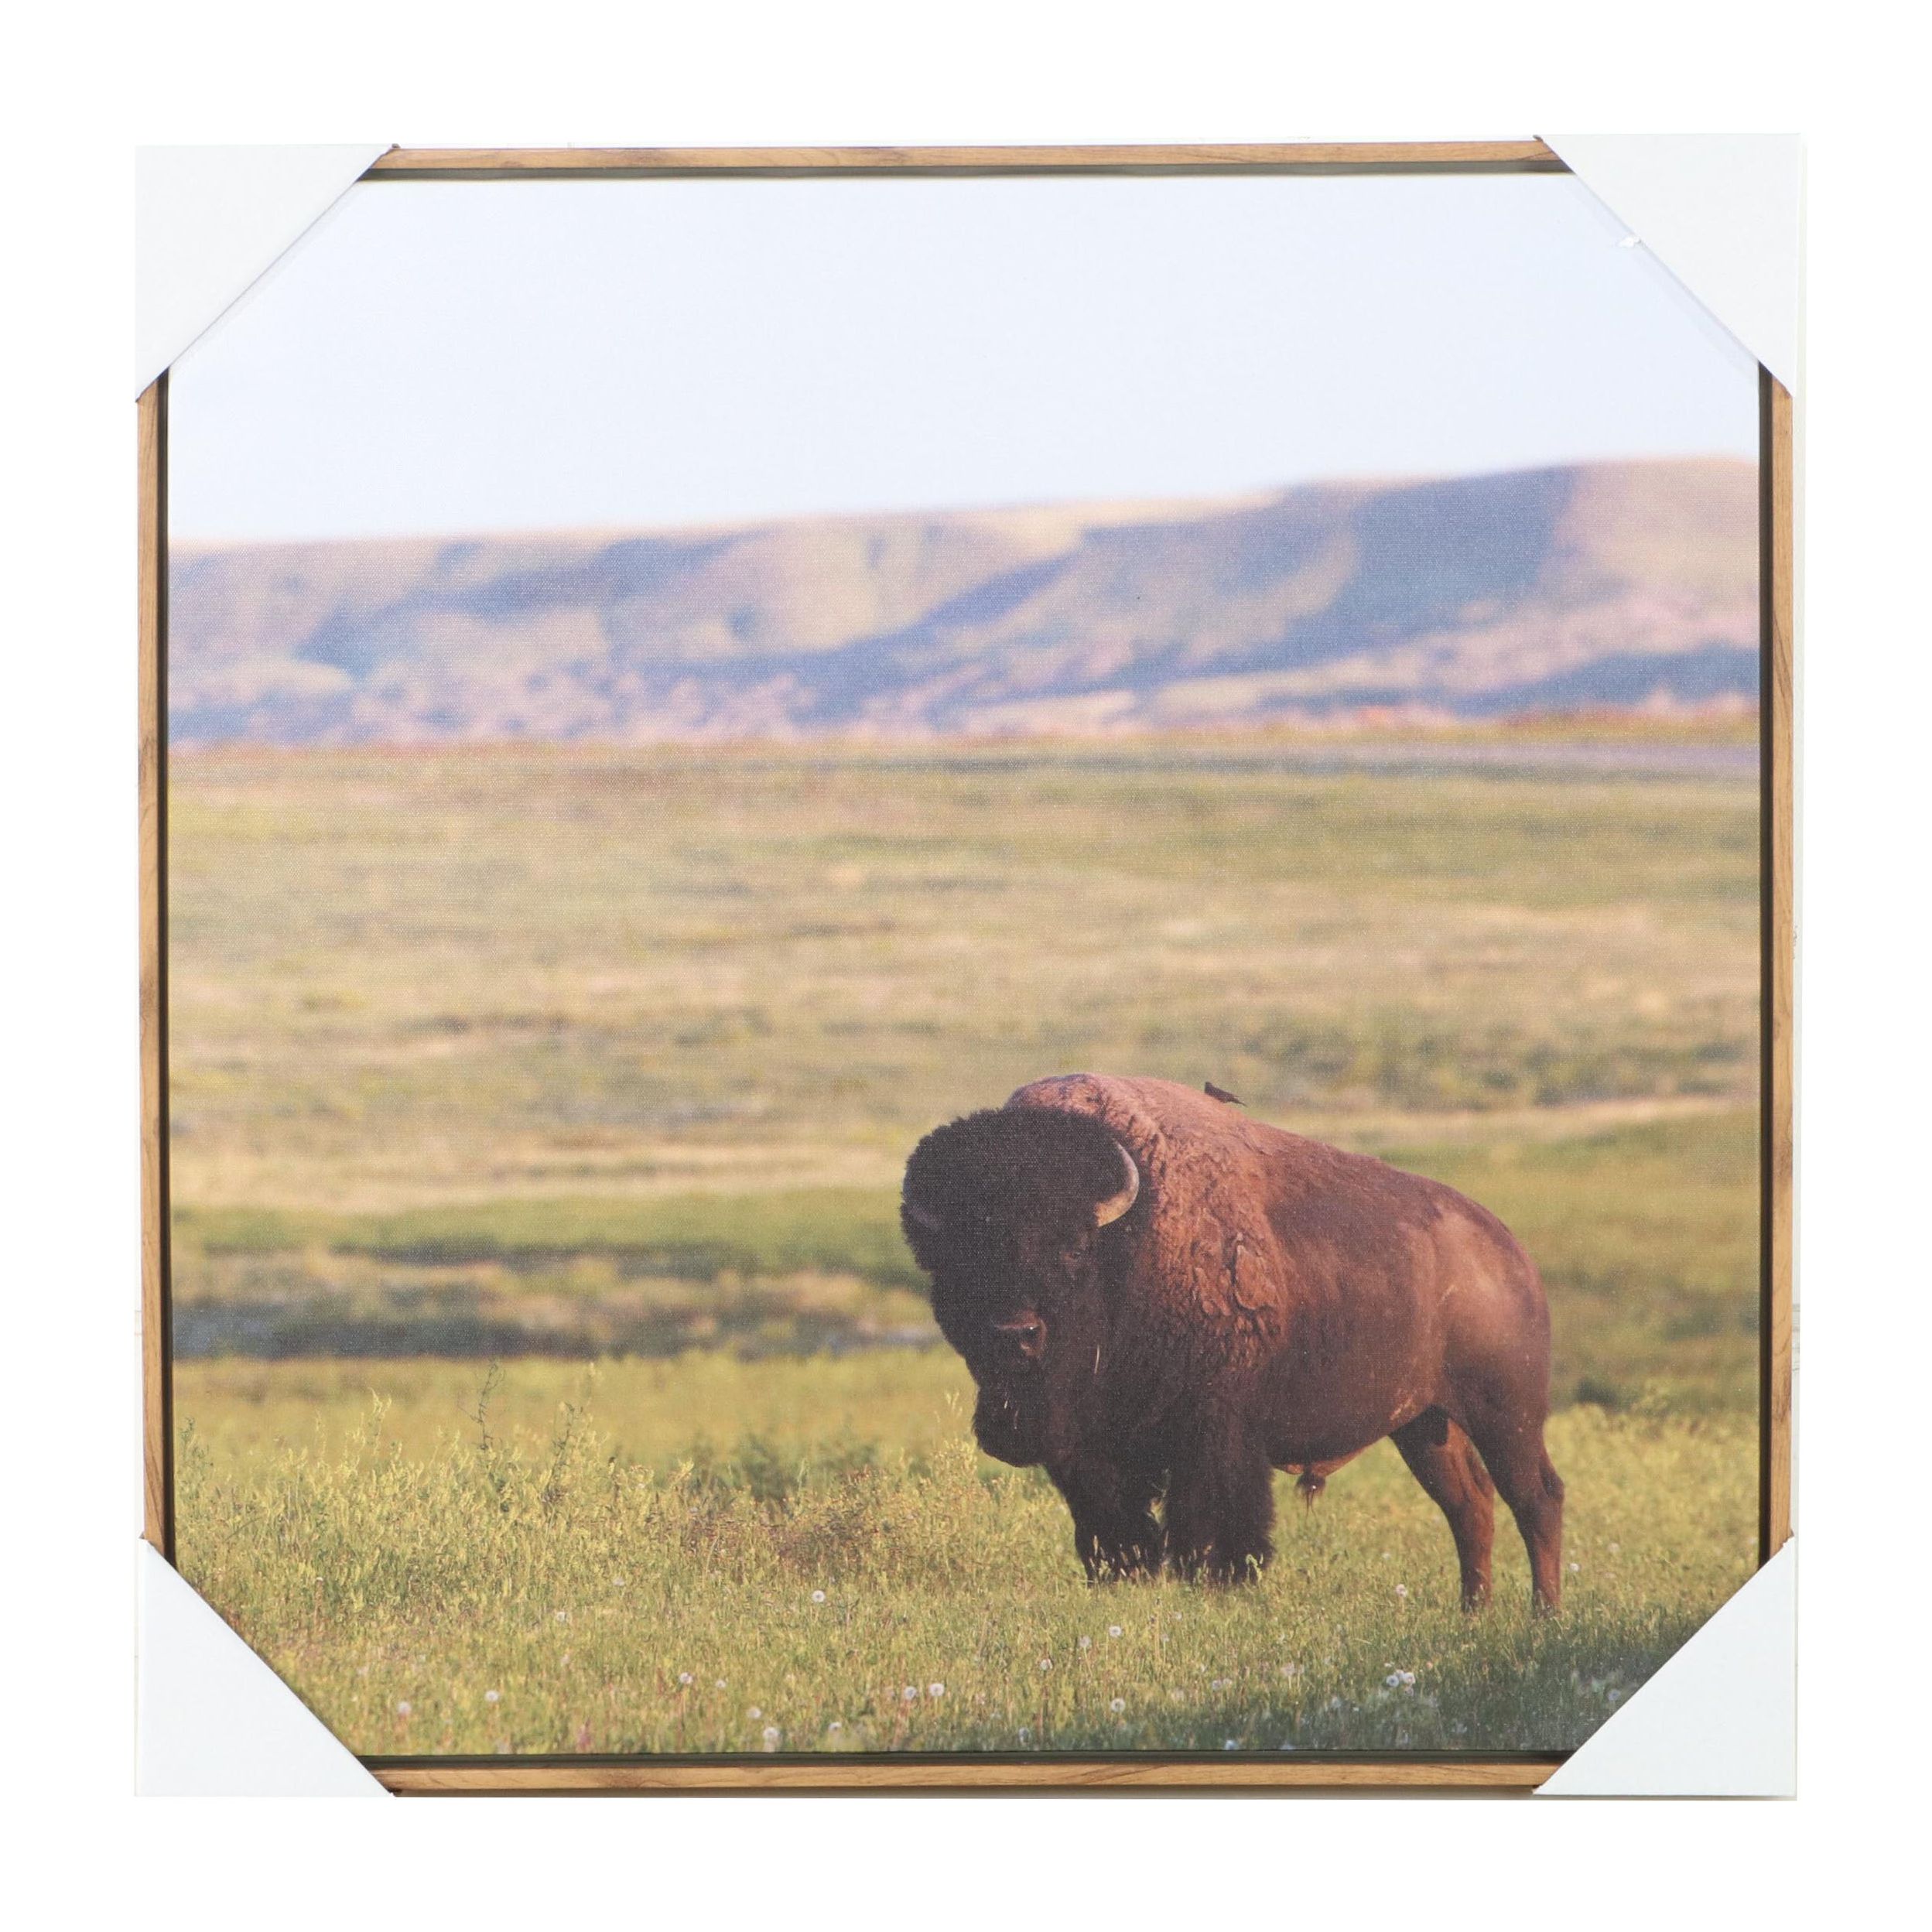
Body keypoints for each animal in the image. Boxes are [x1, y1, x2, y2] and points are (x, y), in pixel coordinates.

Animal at [901, 1074, 1564, 1610]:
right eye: (957, 1260)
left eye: (1073, 1247)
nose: (1015, 1333)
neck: (1129, 1242)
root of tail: (1509, 1253)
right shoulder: (1087, 1452)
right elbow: (1115, 1533)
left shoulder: (1214, 1432)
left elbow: (1213, 1526)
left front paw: (1219, 1586)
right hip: (1425, 1424)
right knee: (1469, 1506)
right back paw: (1473, 1612)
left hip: (1505, 1414)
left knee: (1536, 1499)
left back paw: (1543, 1615)